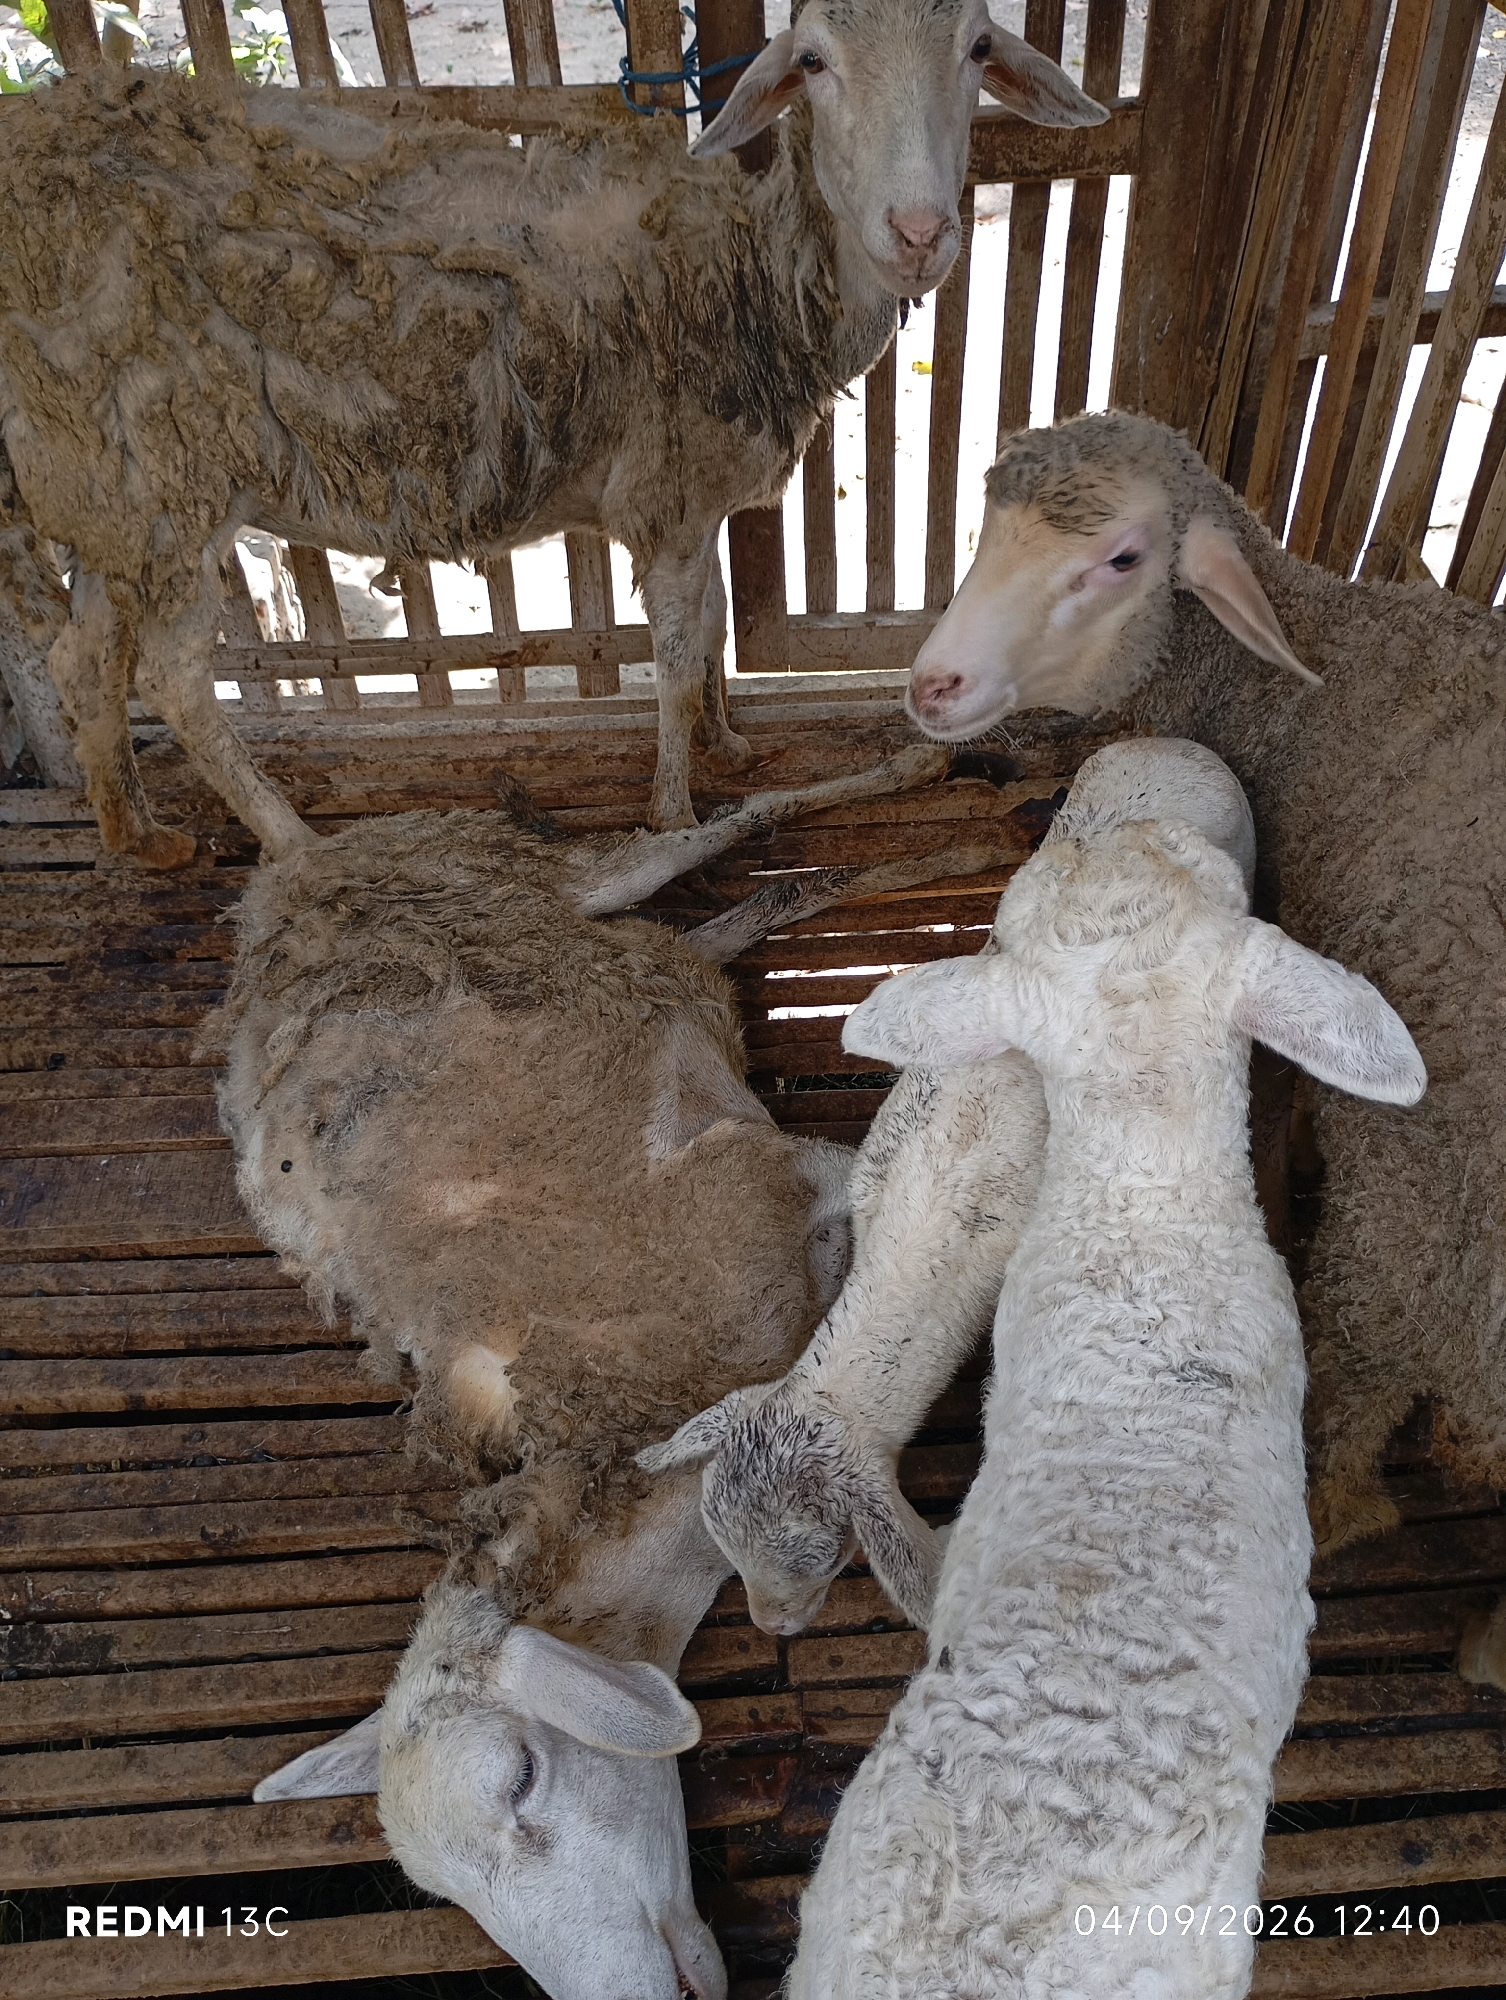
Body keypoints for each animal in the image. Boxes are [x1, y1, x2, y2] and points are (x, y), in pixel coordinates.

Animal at [0, 17, 1105, 861]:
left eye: (978, 48)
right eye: (814, 59)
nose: (918, 232)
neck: (755, 272)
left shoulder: (694, 498)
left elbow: (712, 625)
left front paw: (727, 743)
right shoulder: (664, 492)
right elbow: (674, 649)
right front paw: (675, 804)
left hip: (102, 481)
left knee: (81, 656)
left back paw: (134, 831)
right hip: (166, 474)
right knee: (177, 678)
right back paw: (292, 841)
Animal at [209, 749, 1016, 2000]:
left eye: (521, 1775)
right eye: (445, 1894)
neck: (615, 1431)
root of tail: (295, 866)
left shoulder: (787, 1177)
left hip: (541, 867)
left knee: (729, 828)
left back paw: (950, 801)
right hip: (588, 925)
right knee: (730, 917)